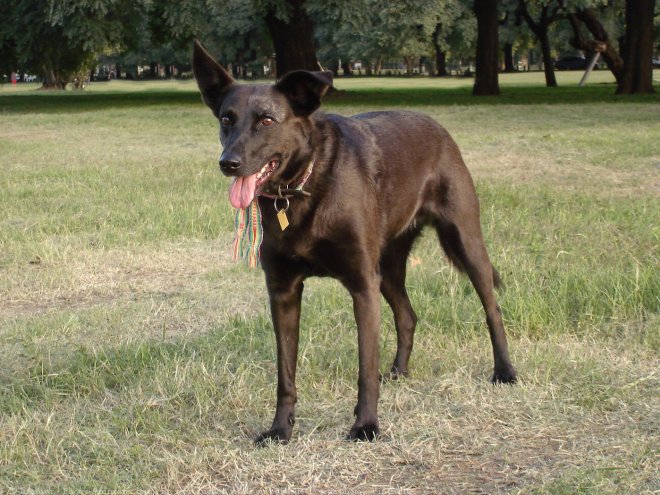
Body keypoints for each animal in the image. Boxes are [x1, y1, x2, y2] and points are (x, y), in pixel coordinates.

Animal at [191, 41, 516, 446]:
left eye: (266, 120)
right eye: (226, 119)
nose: (228, 163)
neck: (301, 186)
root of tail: (436, 126)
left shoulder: (362, 285)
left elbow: (365, 368)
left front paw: (366, 425)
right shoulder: (283, 291)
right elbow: (285, 373)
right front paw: (280, 429)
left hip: (465, 242)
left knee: (492, 308)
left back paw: (504, 371)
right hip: (388, 268)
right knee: (407, 316)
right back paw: (398, 372)